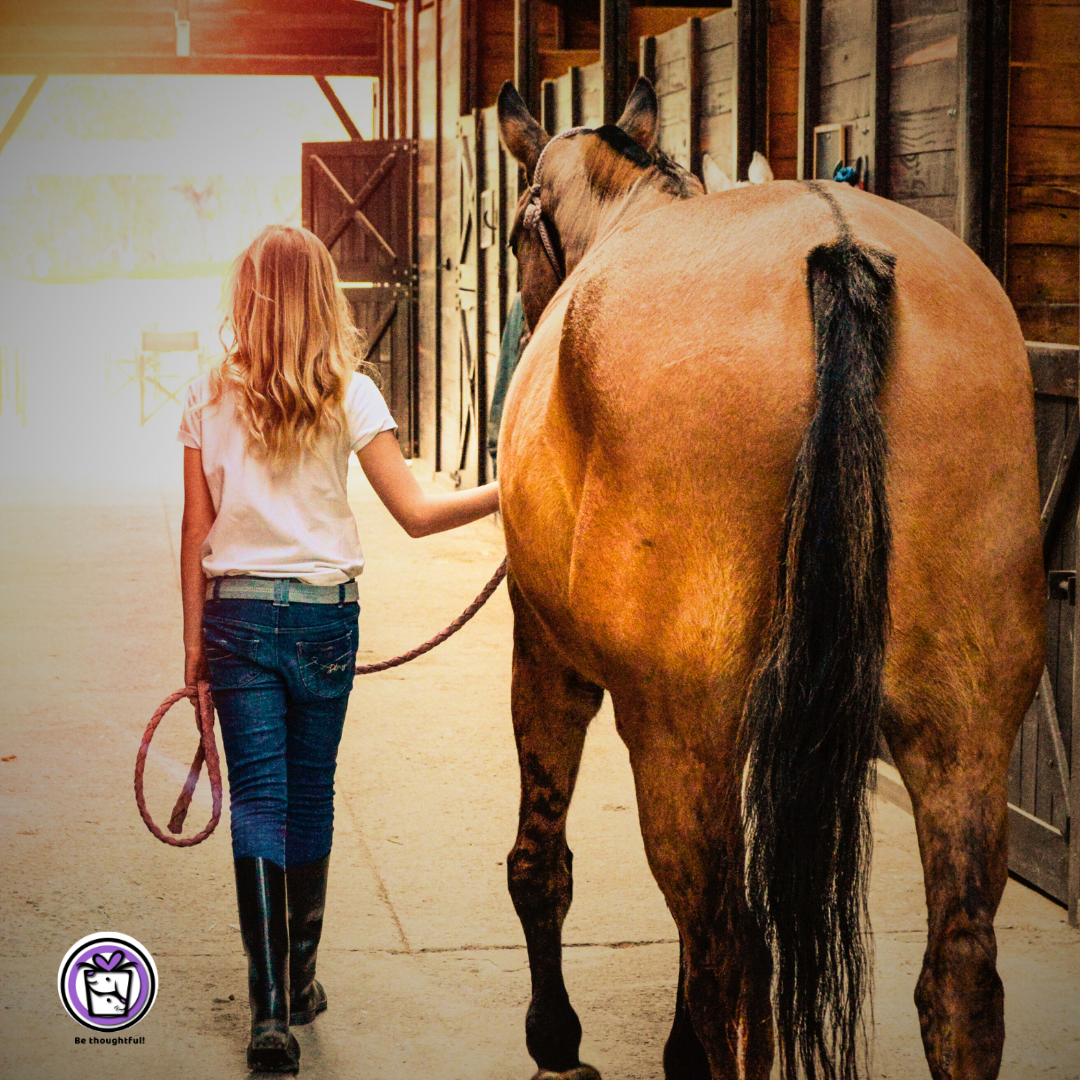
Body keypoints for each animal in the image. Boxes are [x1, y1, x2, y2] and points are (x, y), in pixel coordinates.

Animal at [493, 76, 1044, 1080]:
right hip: (964, 733)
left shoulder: (546, 655)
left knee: (732, 958)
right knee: (959, 976)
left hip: (679, 735)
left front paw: (555, 1038)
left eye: (518, 231)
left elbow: (539, 864)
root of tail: (839, 251)